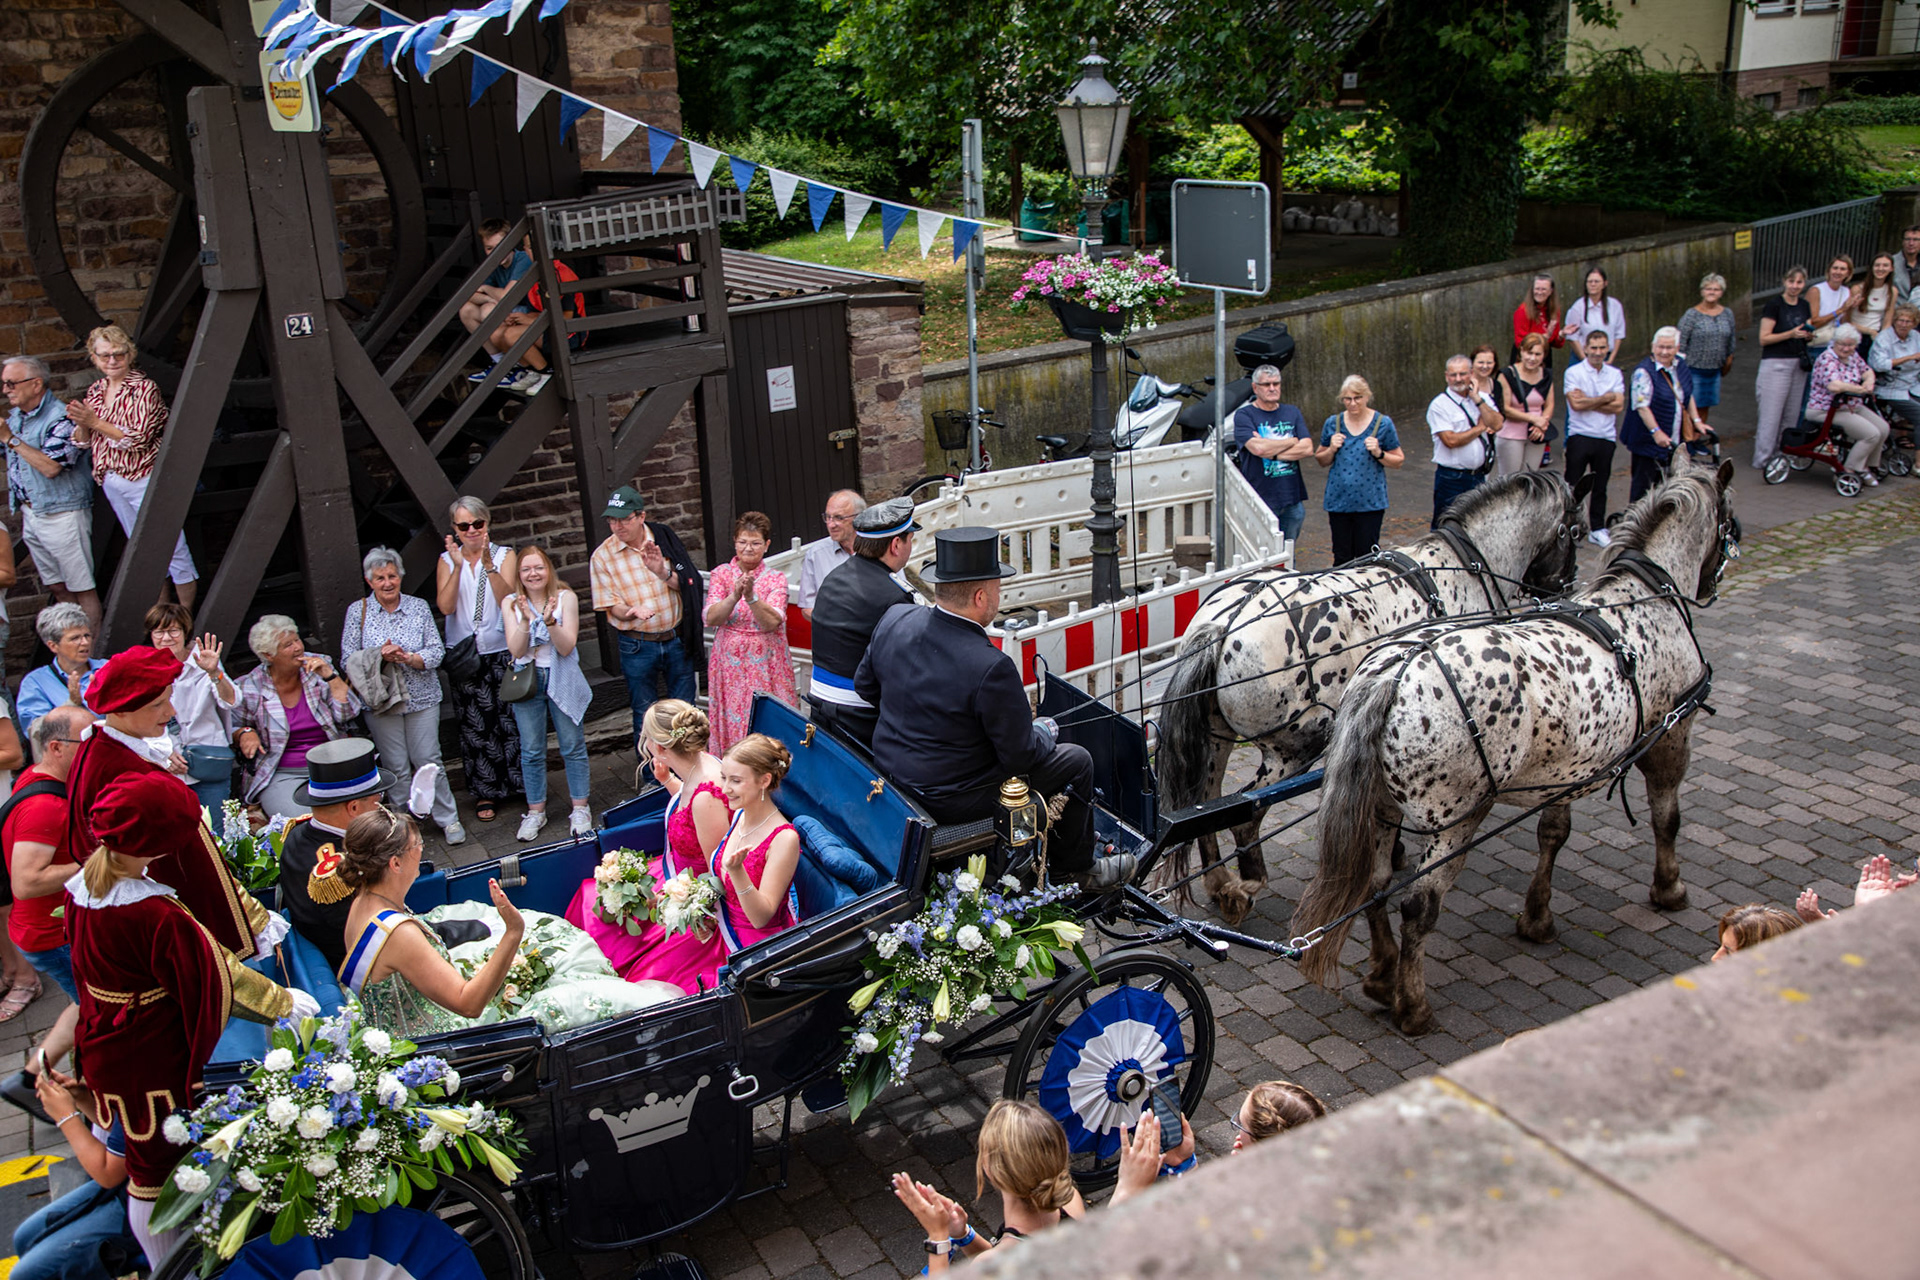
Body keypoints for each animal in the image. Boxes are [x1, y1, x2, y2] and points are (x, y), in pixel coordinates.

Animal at [1155, 470, 1593, 925]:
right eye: (1577, 530)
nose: (1566, 586)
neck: (1464, 568)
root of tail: (1222, 624)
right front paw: (1397, 851)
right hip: (1293, 748)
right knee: (1246, 813)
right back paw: (1247, 883)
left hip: (1218, 737)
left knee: (1204, 803)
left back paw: (1220, 883)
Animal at [1292, 457, 1738, 1035]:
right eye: (1574, 530)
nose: (1715, 578)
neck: (1643, 601)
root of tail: (1390, 673)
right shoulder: (1673, 735)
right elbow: (1668, 817)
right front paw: (1670, 888)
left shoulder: (1567, 768)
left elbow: (1554, 833)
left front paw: (1537, 916)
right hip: (1456, 819)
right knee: (1418, 907)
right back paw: (1412, 1006)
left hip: (1384, 806)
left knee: (1376, 884)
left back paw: (1382, 974)